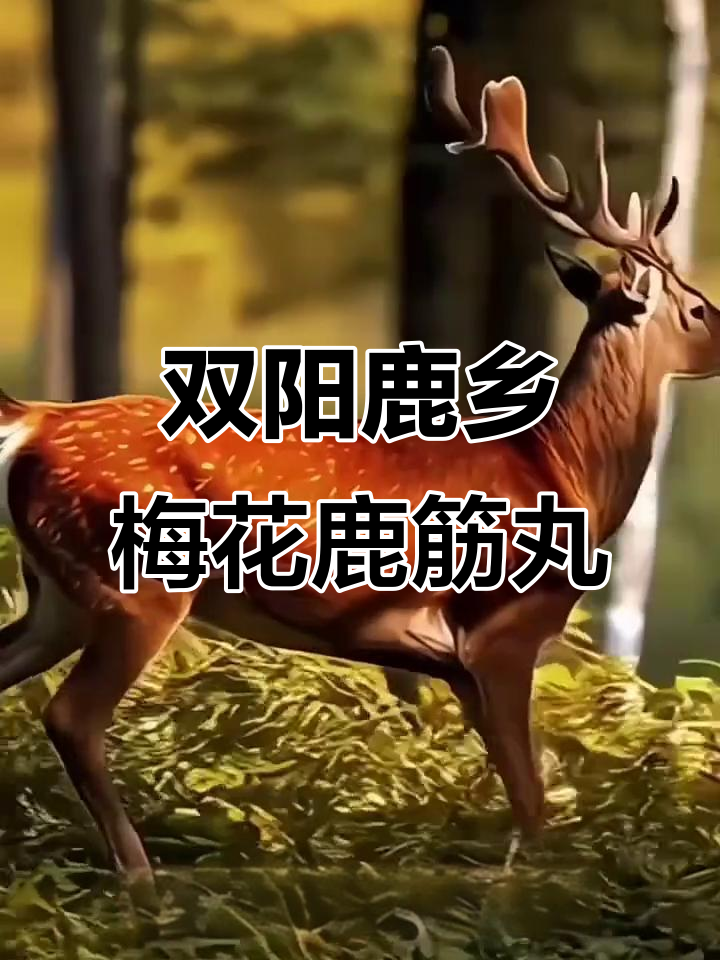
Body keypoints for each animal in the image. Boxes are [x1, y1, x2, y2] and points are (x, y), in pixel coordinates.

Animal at [0, 45, 717, 888]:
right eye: (697, 307)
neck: (561, 470)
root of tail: (35, 421)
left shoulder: (453, 664)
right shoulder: (501, 633)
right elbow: (534, 804)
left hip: (60, 594)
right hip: (135, 586)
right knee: (72, 716)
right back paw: (143, 881)